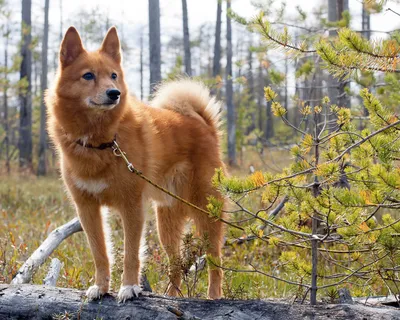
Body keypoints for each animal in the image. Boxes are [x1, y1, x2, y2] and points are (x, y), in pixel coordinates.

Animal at [47, 26, 225, 302]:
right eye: (88, 76)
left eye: (113, 75)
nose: (114, 93)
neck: (102, 142)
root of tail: (204, 125)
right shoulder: (87, 208)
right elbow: (100, 253)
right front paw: (100, 287)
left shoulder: (131, 206)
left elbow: (131, 254)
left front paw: (129, 287)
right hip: (166, 223)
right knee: (175, 265)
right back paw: (171, 296)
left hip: (205, 212)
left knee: (216, 261)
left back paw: (214, 296)